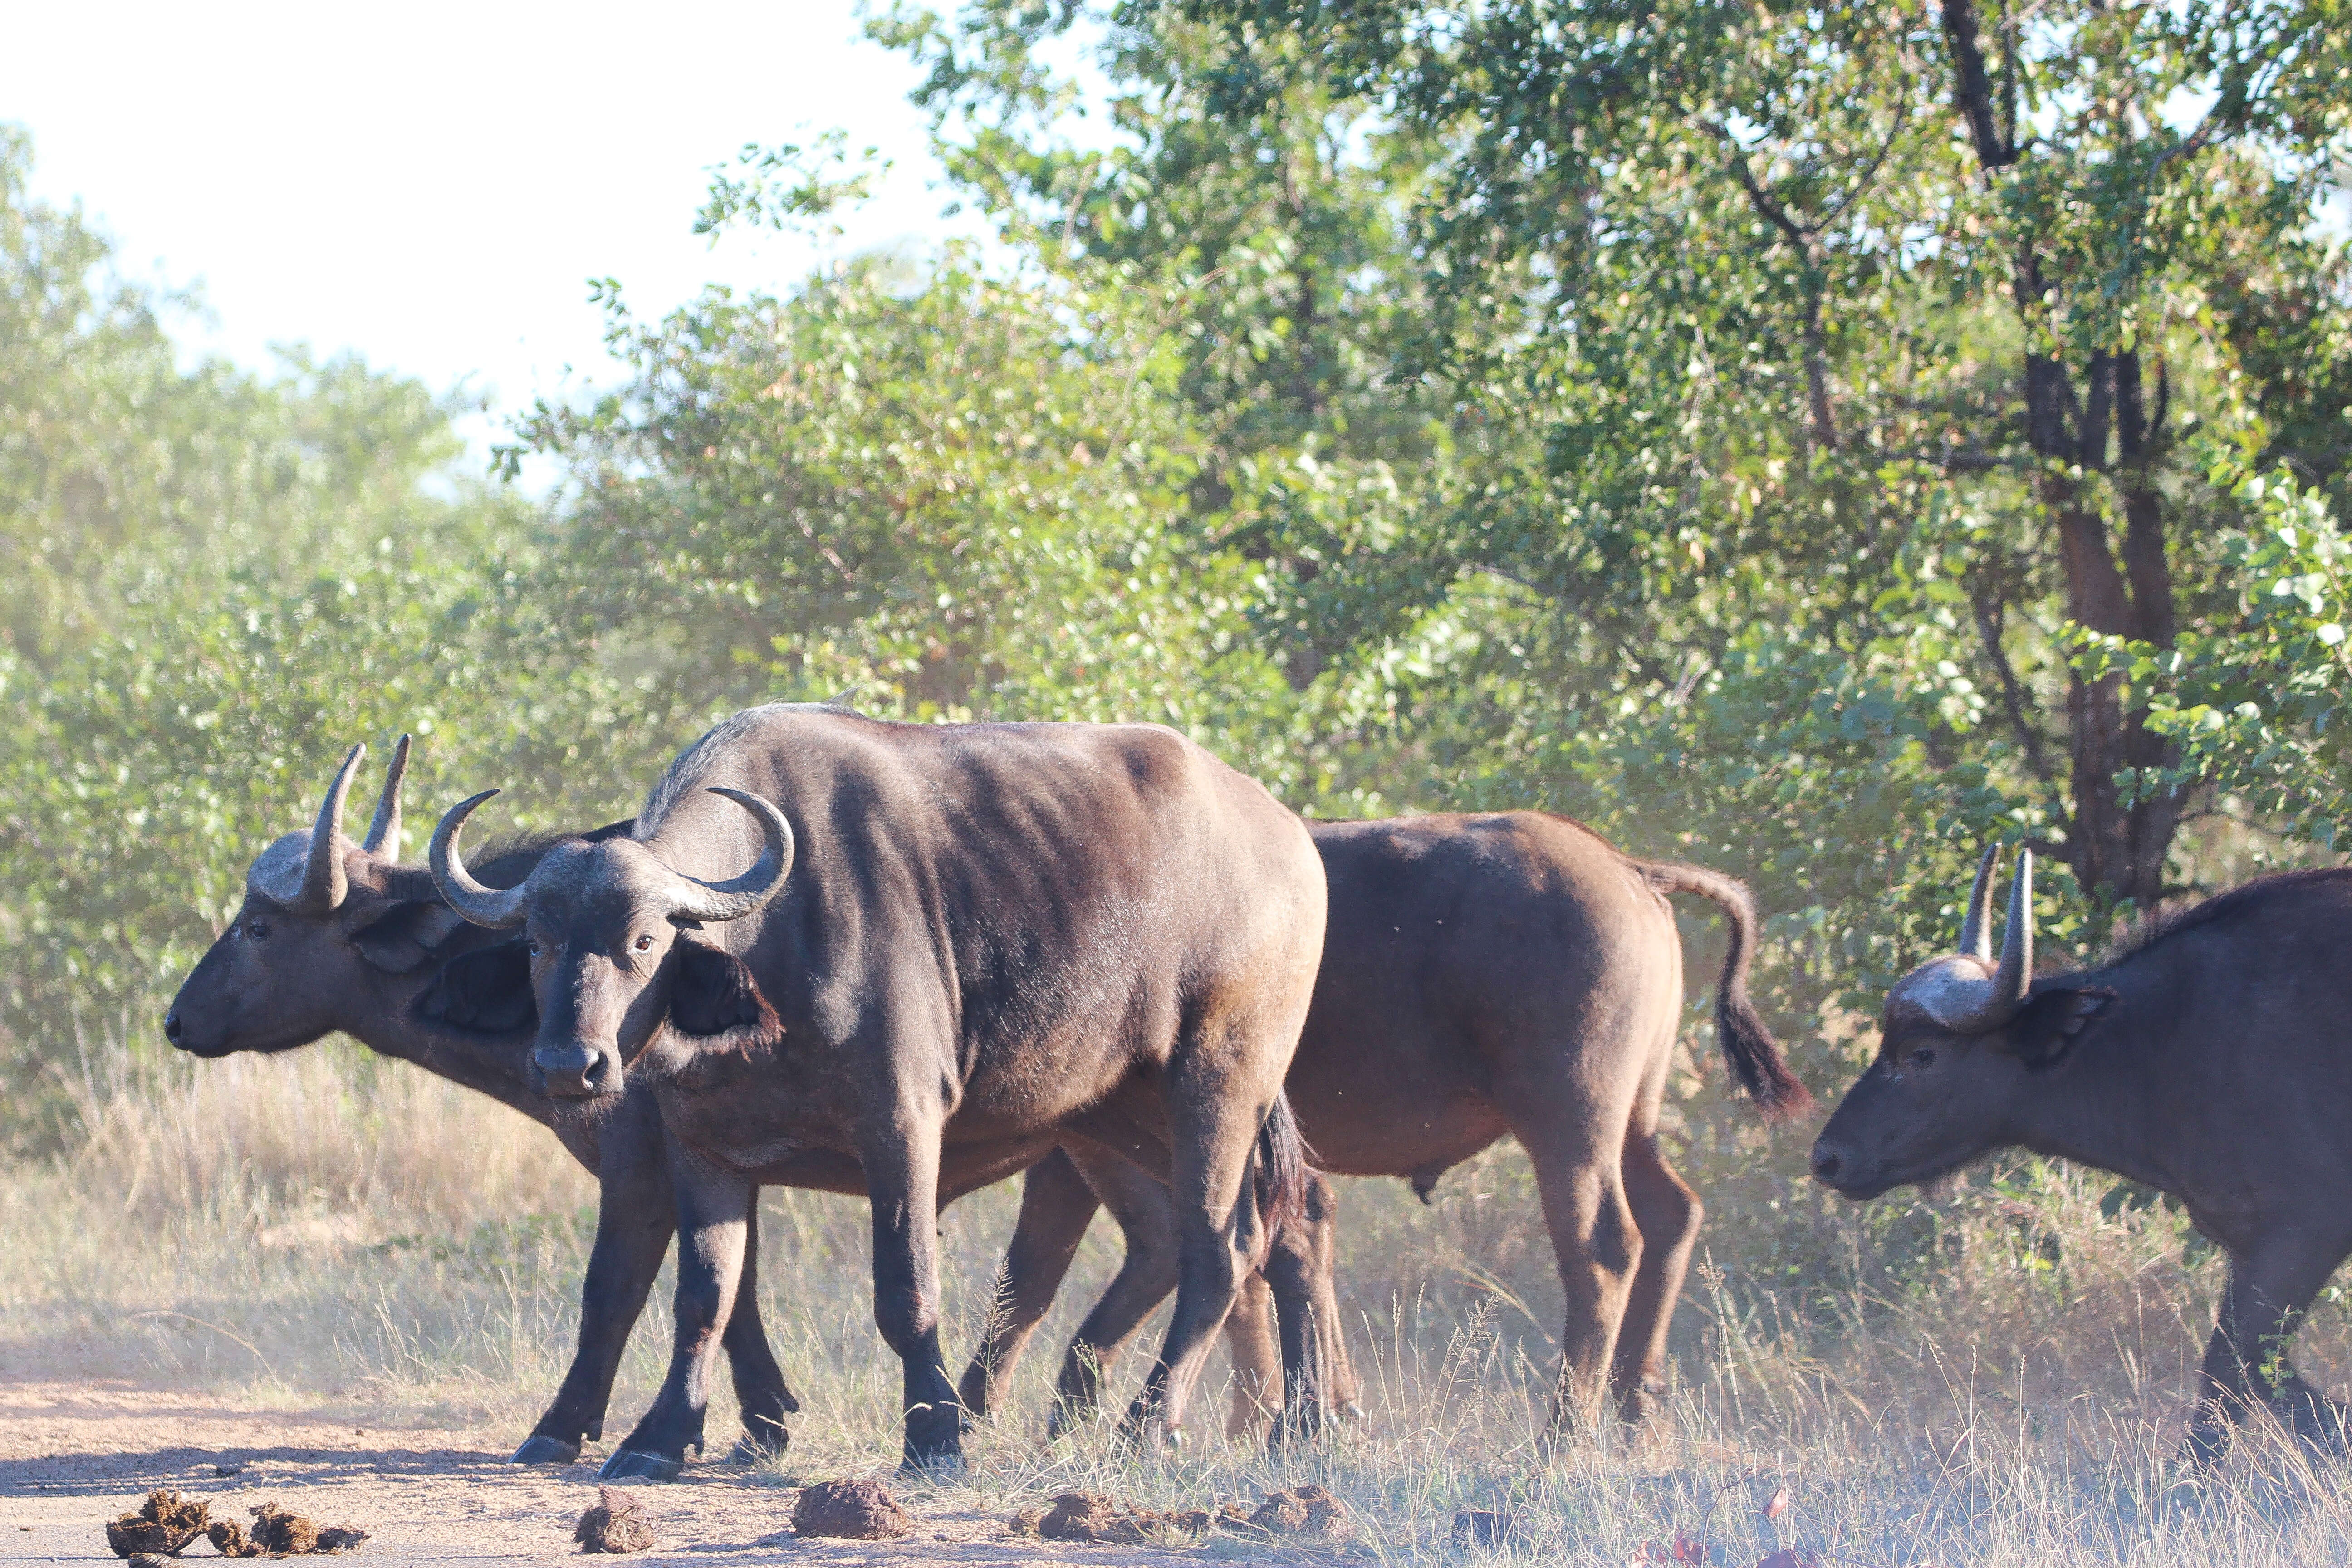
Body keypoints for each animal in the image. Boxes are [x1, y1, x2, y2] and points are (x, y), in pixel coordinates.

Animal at [158, 743, 799, 1467]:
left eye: (259, 928)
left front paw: (572, 1425)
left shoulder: (641, 1160)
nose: (177, 1021)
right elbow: (733, 1283)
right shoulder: (714, 1161)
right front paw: (764, 1422)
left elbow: (621, 1287)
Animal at [423, 705, 1326, 1476]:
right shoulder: (701, 1148)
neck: (772, 954)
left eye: (643, 940)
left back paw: (1148, 1426)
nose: (568, 1067)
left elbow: (906, 1289)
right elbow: (704, 1296)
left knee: (1218, 1247)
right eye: (536, 943)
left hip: (1219, 1081)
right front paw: (660, 1437)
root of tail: (1289, 838)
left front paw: (934, 1438)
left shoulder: (899, 1125)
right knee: (1246, 1235)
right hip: (1119, 1111)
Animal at [955, 818, 1797, 1439]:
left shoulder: (1083, 1151)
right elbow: (1257, 1267)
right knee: (1672, 1214)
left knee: (1601, 1248)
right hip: (1635, 1121)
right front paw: (1279, 1414)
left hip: (1569, 1122)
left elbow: (1035, 1277)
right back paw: (1635, 1404)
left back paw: (1563, 1431)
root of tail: (1628, 869)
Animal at [1816, 851, 2352, 1467]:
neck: (2172, 1035)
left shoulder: (2305, 1232)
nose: (1828, 1158)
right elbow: (2250, 1367)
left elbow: (2233, 1366)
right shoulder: (2251, 1248)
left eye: (1921, 1054)